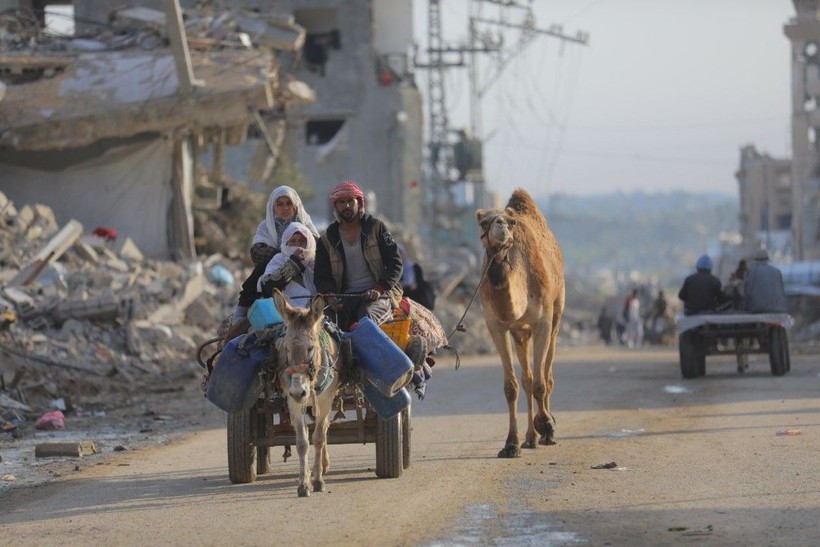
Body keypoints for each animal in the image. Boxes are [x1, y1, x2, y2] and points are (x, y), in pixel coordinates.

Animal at [474, 188, 564, 458]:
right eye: (483, 222)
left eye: (511, 222)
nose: (501, 226)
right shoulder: (497, 326)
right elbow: (512, 386)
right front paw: (511, 444)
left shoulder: (542, 322)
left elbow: (540, 383)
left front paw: (547, 424)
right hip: (520, 333)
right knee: (526, 378)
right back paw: (530, 439)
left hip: (557, 314)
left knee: (546, 374)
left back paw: (546, 434)